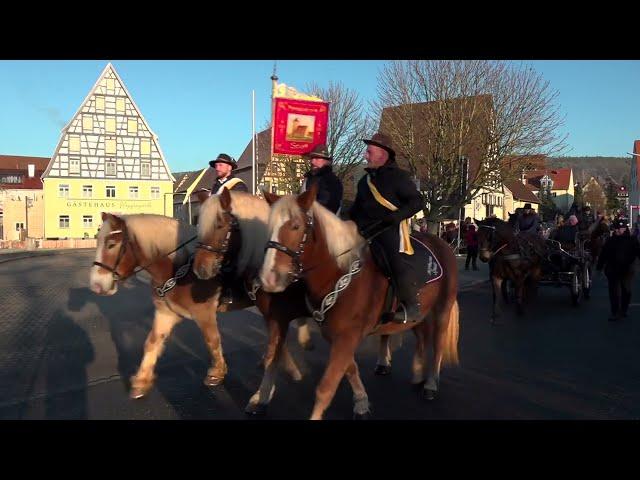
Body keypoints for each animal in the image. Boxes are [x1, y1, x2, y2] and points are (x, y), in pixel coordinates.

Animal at [258, 185, 458, 420]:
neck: (340, 272)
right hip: (418, 315)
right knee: (422, 338)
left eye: (296, 226)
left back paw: (431, 383)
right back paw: (419, 374)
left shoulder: (346, 337)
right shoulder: (337, 336)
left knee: (438, 344)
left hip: (442, 309)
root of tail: (442, 243)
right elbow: (350, 368)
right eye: (269, 227)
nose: (269, 279)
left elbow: (326, 386)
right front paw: (361, 402)